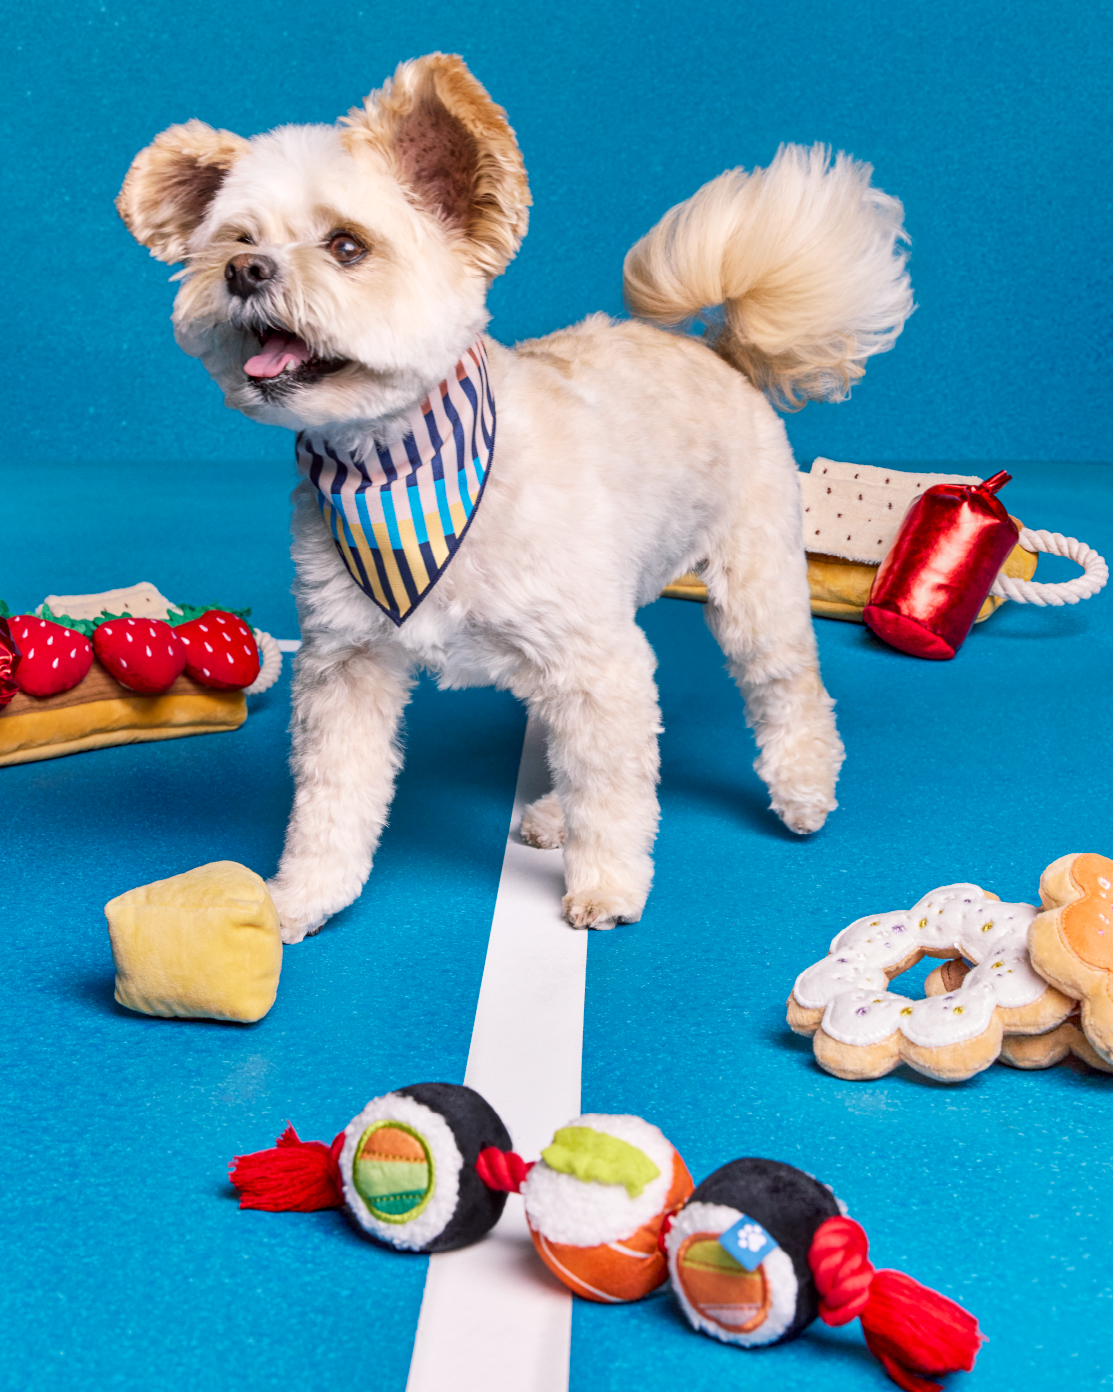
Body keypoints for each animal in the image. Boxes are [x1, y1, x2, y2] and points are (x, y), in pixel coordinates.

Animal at [117, 59, 907, 940]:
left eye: (347, 247)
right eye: (238, 241)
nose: (243, 274)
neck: (396, 472)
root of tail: (716, 348)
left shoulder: (597, 659)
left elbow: (615, 793)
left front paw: (607, 884)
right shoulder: (346, 667)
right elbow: (333, 798)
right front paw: (306, 892)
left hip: (754, 588)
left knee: (784, 692)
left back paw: (802, 789)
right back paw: (556, 812)